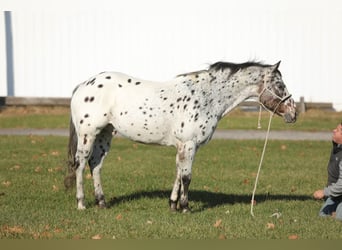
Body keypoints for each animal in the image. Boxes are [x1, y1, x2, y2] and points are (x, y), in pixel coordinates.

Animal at [64, 60, 296, 211]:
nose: (293, 114)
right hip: (88, 134)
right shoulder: (188, 143)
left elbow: (178, 172)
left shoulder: (185, 146)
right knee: (81, 164)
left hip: (104, 135)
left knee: (96, 165)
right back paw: (81, 203)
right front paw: (184, 207)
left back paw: (102, 203)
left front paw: (173, 204)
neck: (206, 96)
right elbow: (186, 176)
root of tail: (84, 84)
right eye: (280, 85)